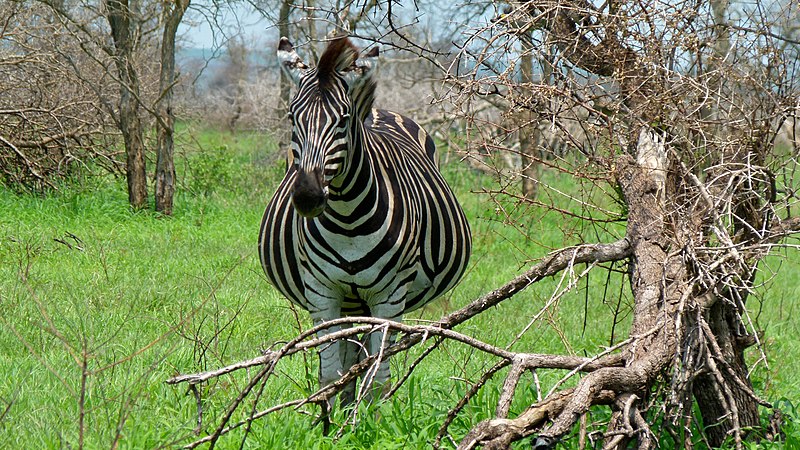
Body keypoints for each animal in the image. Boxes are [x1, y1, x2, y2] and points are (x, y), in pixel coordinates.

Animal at [258, 37, 468, 406]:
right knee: (347, 355)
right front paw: (330, 418)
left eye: (343, 120)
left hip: (372, 302)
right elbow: (330, 374)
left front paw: (372, 418)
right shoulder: (321, 293)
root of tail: (380, 111)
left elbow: (378, 379)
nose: (308, 198)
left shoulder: (389, 296)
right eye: (292, 117)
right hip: (349, 301)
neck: (348, 220)